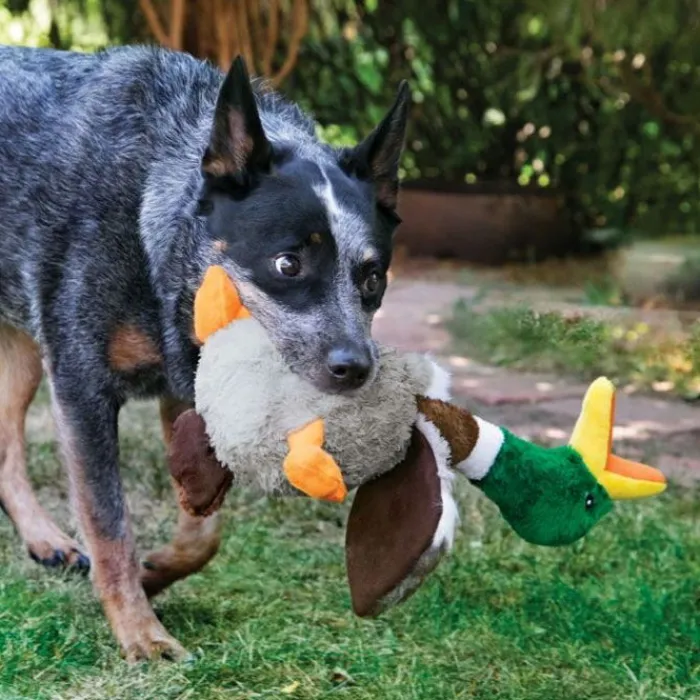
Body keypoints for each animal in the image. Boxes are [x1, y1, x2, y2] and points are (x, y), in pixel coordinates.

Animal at [0, 45, 410, 660]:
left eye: (373, 278)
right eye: (288, 263)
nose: (356, 367)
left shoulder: (187, 387)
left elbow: (204, 528)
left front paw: (156, 573)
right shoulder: (81, 382)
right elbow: (109, 523)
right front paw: (141, 634)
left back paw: (45, 539)